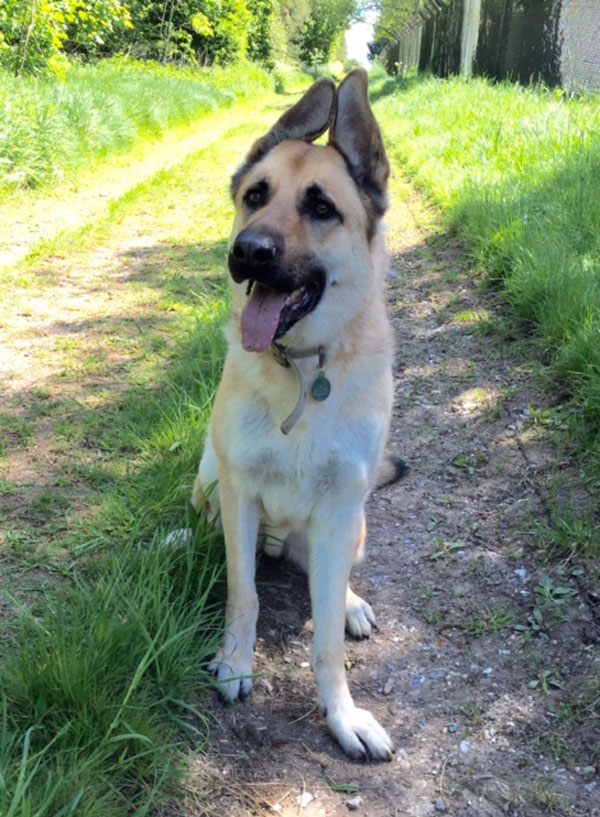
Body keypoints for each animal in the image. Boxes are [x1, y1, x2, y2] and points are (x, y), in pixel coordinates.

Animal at [190, 68, 404, 760]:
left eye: (322, 208)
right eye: (255, 195)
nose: (249, 251)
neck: (304, 369)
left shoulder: (338, 514)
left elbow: (326, 642)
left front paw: (342, 715)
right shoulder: (241, 498)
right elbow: (245, 595)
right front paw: (235, 665)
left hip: (353, 527)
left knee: (332, 582)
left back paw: (353, 603)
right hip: (211, 481)